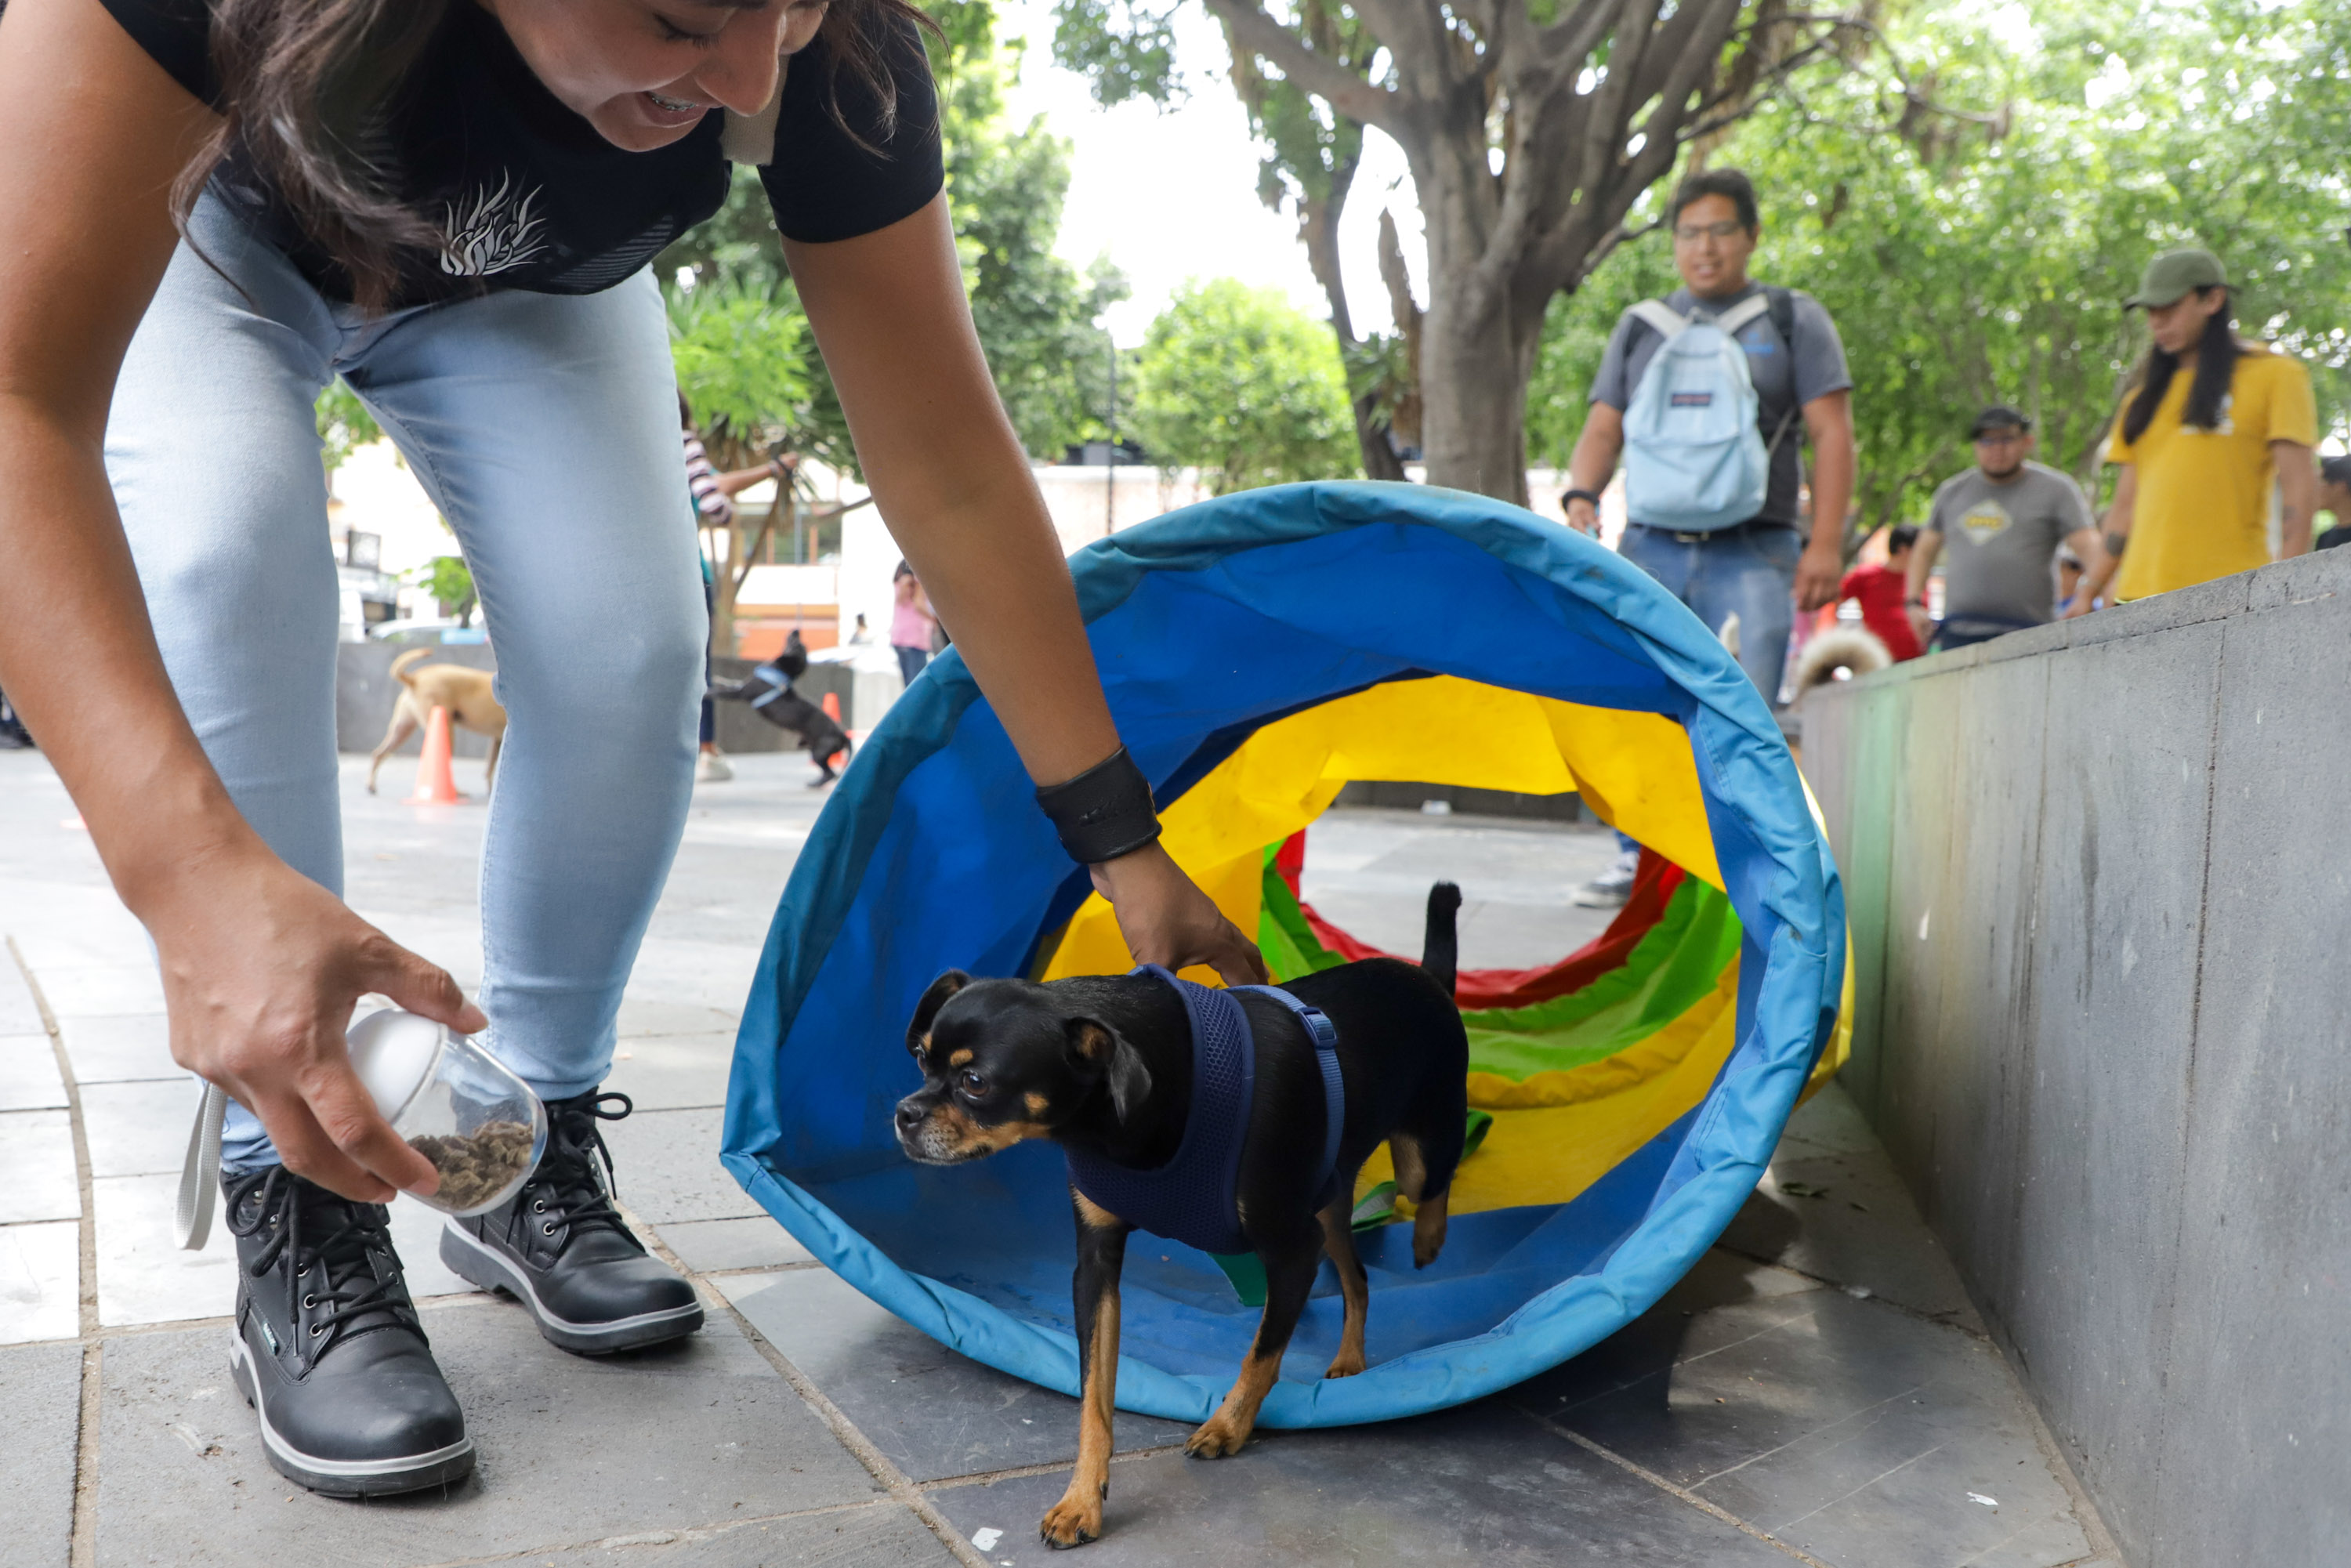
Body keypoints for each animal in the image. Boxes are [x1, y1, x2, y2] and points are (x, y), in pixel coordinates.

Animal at [364, 649, 508, 799]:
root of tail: (415, 679)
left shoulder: (497, 739)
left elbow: (490, 768)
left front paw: (492, 790)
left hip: (402, 730)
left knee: (378, 754)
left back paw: (371, 785)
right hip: (445, 731)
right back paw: (455, 792)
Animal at [715, 630, 865, 785]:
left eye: (796, 644)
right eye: (801, 645)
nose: (797, 631)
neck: (781, 673)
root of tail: (843, 734)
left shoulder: (741, 694)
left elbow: (720, 693)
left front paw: (709, 691)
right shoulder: (740, 686)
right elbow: (729, 683)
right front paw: (718, 679)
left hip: (819, 752)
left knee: (830, 773)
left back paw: (815, 784)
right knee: (829, 773)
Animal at [898, 884, 1467, 1542]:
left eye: (975, 1081)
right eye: (921, 1058)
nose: (903, 1114)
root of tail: (1425, 976)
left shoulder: (1291, 1251)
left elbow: (1262, 1352)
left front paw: (1228, 1425)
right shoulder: (1097, 1266)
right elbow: (1095, 1396)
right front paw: (1082, 1499)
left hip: (1414, 1154)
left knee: (1427, 1184)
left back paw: (1429, 1238)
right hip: (1326, 1202)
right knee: (1359, 1276)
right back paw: (1351, 1358)